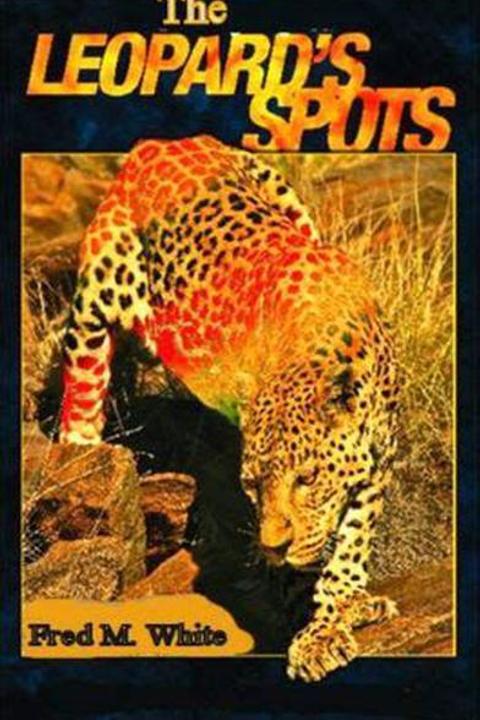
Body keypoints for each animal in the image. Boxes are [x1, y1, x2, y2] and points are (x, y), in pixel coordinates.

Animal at [59, 135, 400, 681]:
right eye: (252, 484)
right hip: (98, 294)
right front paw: (316, 626)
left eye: (307, 479)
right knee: (85, 373)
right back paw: (81, 450)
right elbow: (303, 569)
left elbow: (350, 541)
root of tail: (160, 143)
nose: (274, 547)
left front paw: (345, 604)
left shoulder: (379, 464)